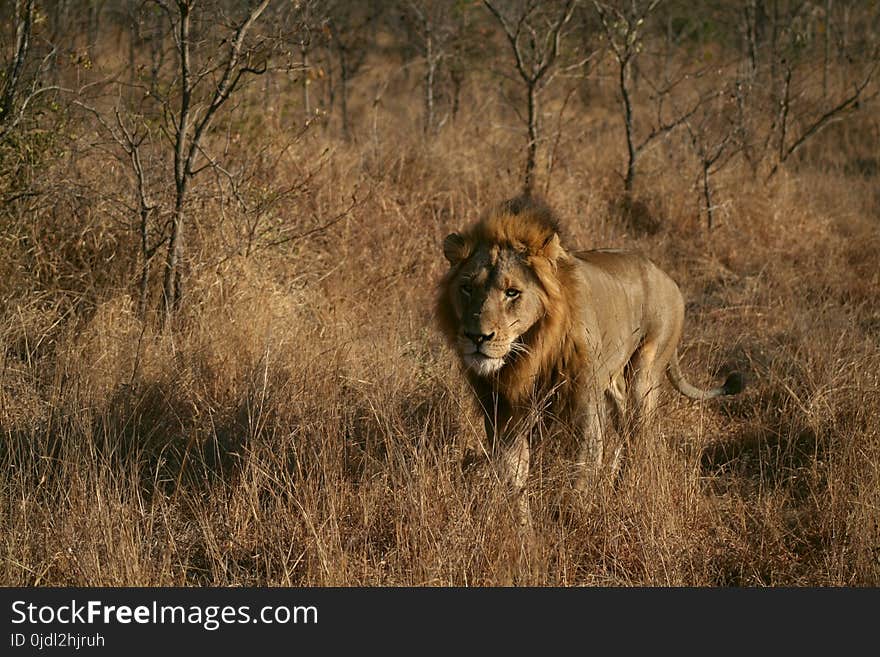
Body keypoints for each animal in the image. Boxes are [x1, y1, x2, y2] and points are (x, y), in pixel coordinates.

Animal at [434, 196, 744, 528]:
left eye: (512, 292)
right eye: (467, 287)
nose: (476, 336)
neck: (531, 354)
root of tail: (665, 275)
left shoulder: (584, 405)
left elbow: (581, 470)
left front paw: (571, 521)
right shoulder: (503, 411)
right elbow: (513, 476)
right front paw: (524, 531)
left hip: (645, 369)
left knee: (638, 434)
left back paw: (624, 491)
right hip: (610, 380)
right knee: (622, 426)